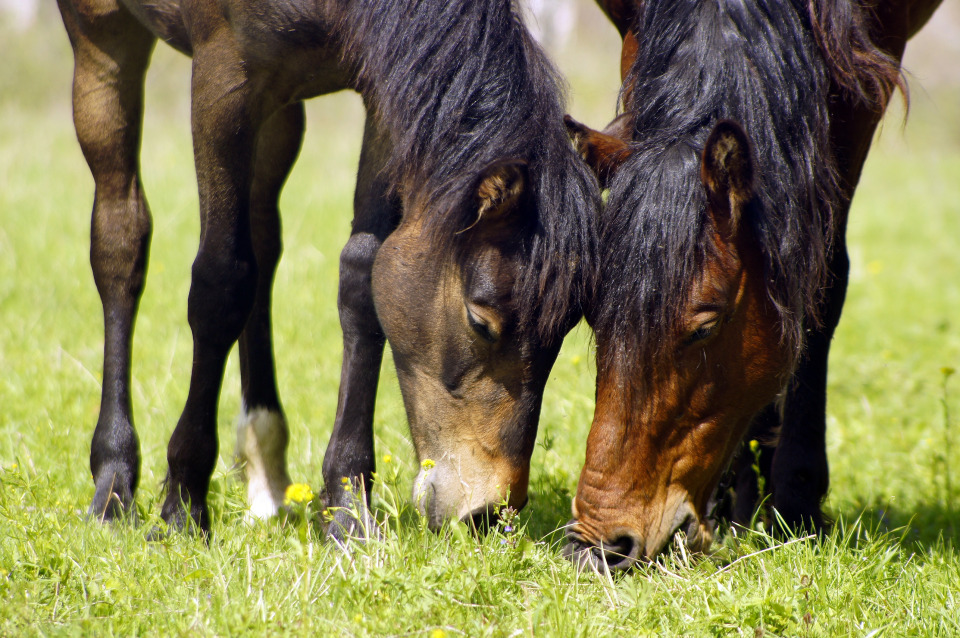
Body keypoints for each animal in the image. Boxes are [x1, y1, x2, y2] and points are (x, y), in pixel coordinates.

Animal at [54, 0, 600, 540]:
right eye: (480, 321)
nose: (489, 512)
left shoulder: (383, 88)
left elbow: (361, 278)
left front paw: (347, 508)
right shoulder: (222, 75)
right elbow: (220, 284)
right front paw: (183, 506)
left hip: (280, 103)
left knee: (261, 240)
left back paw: (266, 473)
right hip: (102, 40)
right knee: (121, 242)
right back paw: (113, 487)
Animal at [560, 0, 940, 568]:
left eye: (705, 327)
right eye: (592, 315)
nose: (599, 549)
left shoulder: (865, 75)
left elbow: (820, 280)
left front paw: (797, 501)